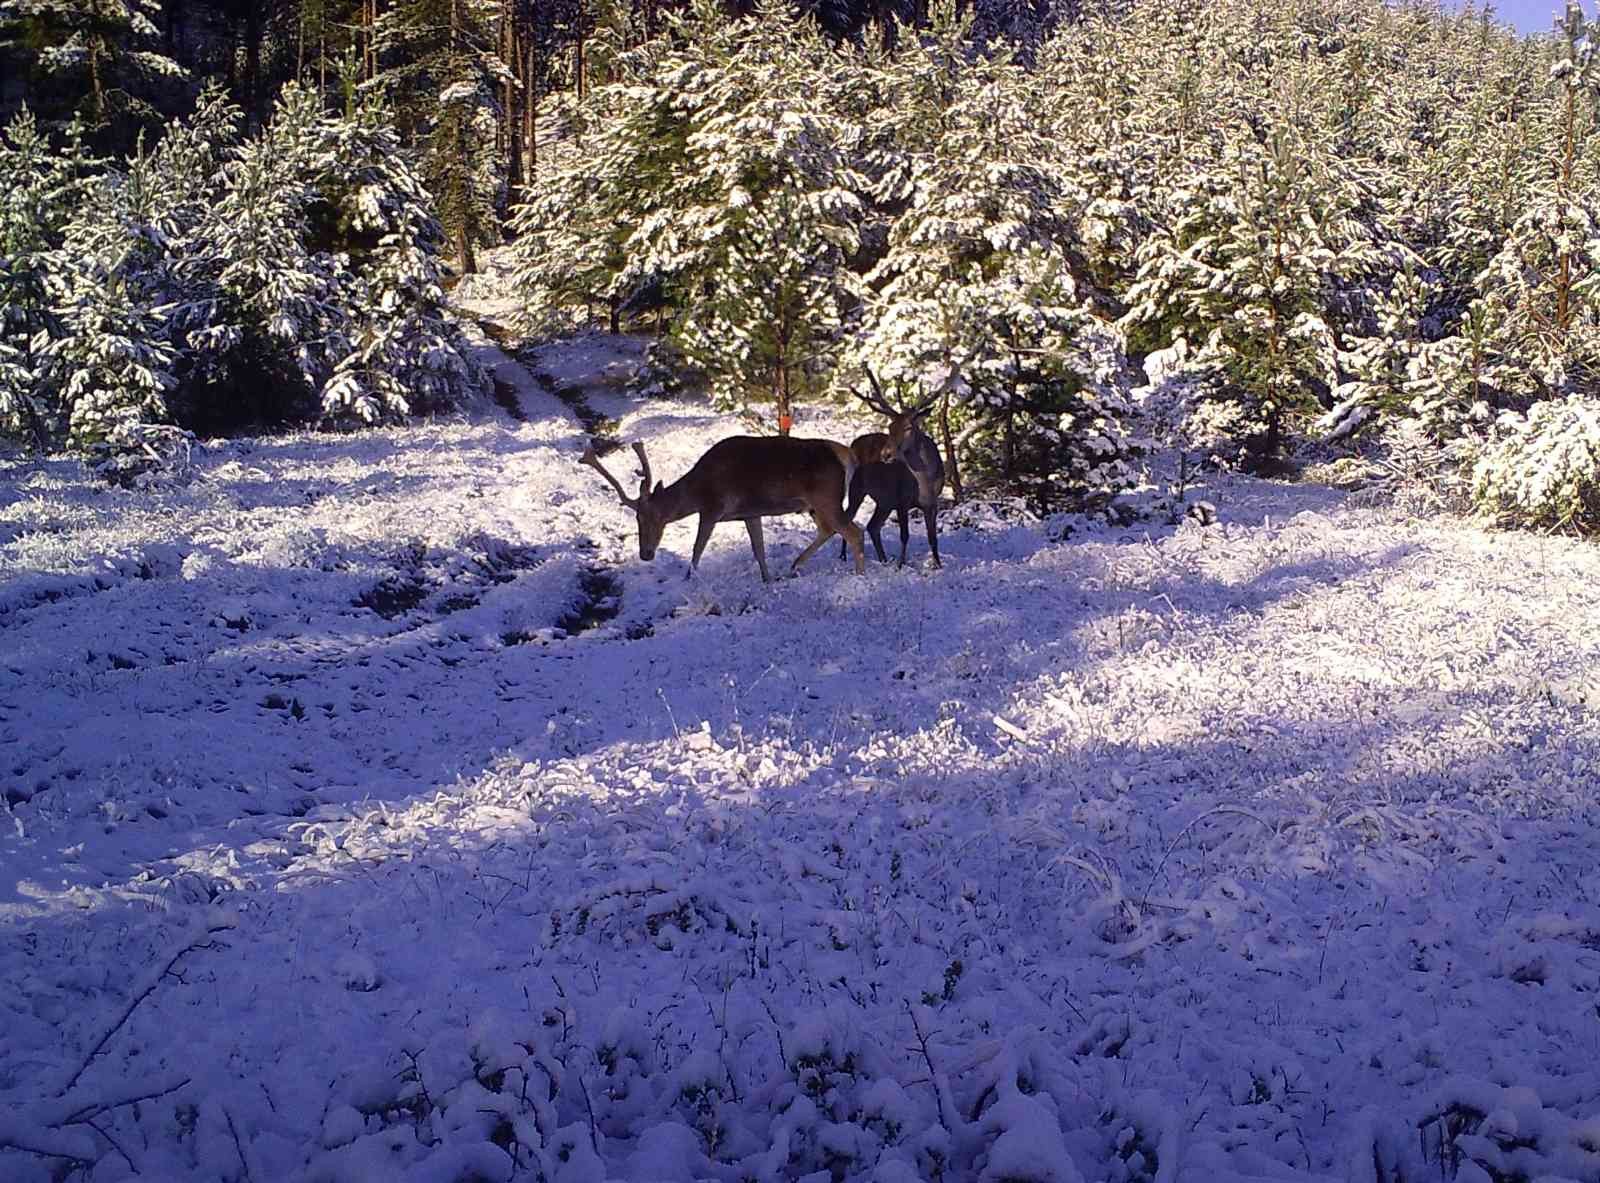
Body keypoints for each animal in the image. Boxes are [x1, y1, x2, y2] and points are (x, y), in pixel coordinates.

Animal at [582, 435, 870, 582]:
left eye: (649, 516)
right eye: (636, 519)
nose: (645, 554)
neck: (698, 490)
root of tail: (848, 456)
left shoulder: (712, 509)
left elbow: (697, 550)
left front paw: (689, 579)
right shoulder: (751, 513)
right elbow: (758, 550)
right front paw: (767, 580)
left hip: (826, 498)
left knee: (854, 531)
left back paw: (859, 576)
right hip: (814, 505)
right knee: (829, 530)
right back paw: (794, 565)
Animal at [844, 374, 940, 569]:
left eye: (909, 427)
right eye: (889, 427)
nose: (886, 454)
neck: (926, 481)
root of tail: (853, 443)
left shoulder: (933, 503)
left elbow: (933, 538)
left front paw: (938, 565)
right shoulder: (902, 499)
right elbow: (904, 535)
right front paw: (901, 565)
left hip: (884, 501)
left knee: (872, 526)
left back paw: (883, 559)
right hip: (856, 488)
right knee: (847, 517)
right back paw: (843, 556)